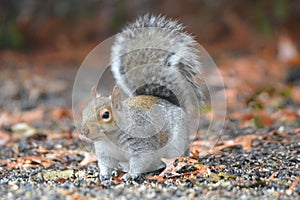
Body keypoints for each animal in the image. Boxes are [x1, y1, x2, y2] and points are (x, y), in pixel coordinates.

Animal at [81, 13, 205, 180]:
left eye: (106, 115)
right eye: (84, 111)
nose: (84, 131)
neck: (110, 139)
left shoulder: (141, 145)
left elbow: (141, 161)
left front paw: (130, 176)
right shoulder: (105, 153)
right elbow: (106, 165)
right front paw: (104, 175)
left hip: (176, 146)